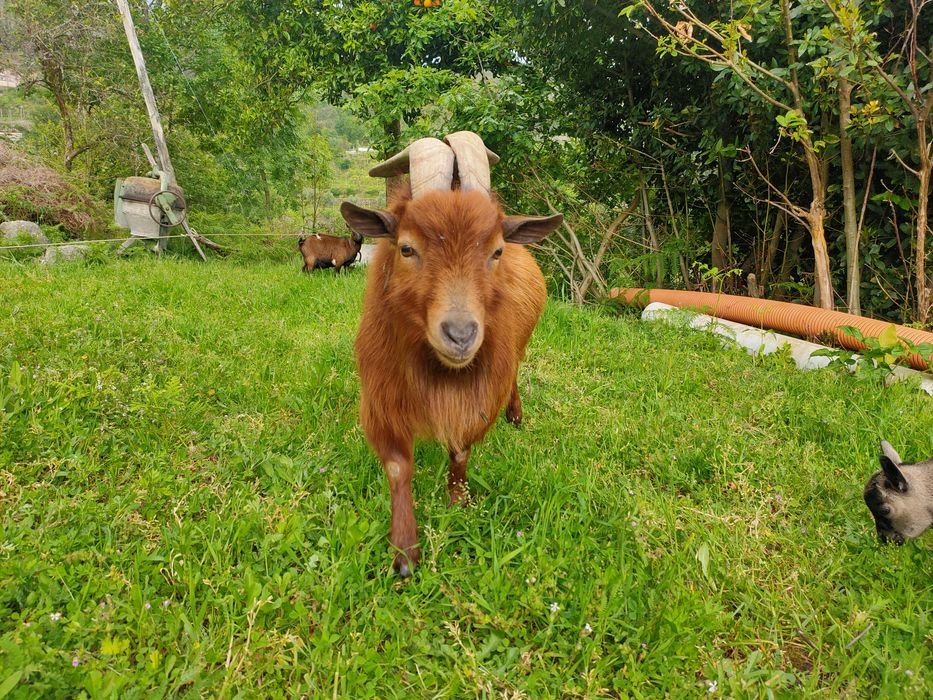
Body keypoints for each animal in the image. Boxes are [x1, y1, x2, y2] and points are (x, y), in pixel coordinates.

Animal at [340, 132, 563, 575]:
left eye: (496, 251)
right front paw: (405, 551)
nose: (460, 335)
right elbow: (398, 466)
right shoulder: (380, 393)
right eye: (406, 248)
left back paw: (516, 416)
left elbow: (460, 450)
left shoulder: (480, 391)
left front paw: (458, 503)